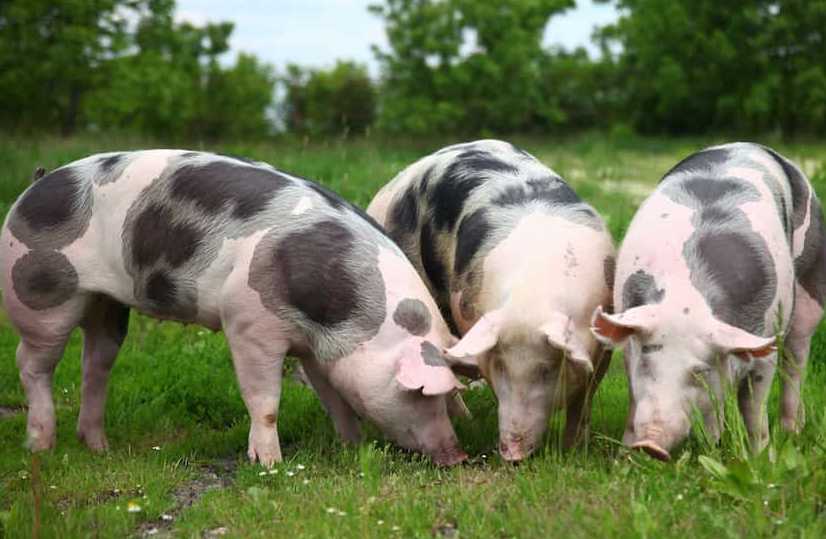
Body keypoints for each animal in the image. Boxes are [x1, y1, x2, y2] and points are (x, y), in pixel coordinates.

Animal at [0, 150, 469, 466]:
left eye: (452, 398)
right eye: (422, 394)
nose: (459, 456)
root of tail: (34, 185)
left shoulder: (318, 349)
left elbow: (334, 396)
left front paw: (352, 445)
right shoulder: (247, 321)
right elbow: (265, 400)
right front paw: (270, 464)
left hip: (107, 304)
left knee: (94, 363)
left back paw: (99, 446)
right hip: (40, 293)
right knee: (31, 363)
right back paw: (41, 446)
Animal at [368, 140, 616, 461]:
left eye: (547, 369)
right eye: (500, 367)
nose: (512, 453)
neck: (532, 295)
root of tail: (390, 188)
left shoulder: (603, 344)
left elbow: (583, 401)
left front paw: (575, 451)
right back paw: (465, 417)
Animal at [592, 143, 826, 460]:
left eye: (700, 370)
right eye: (648, 359)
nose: (651, 445)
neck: (687, 301)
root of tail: (748, 144)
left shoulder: (765, 345)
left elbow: (753, 406)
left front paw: (760, 458)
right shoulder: (631, 343)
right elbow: (634, 399)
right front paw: (625, 457)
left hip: (809, 289)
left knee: (795, 363)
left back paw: (791, 432)